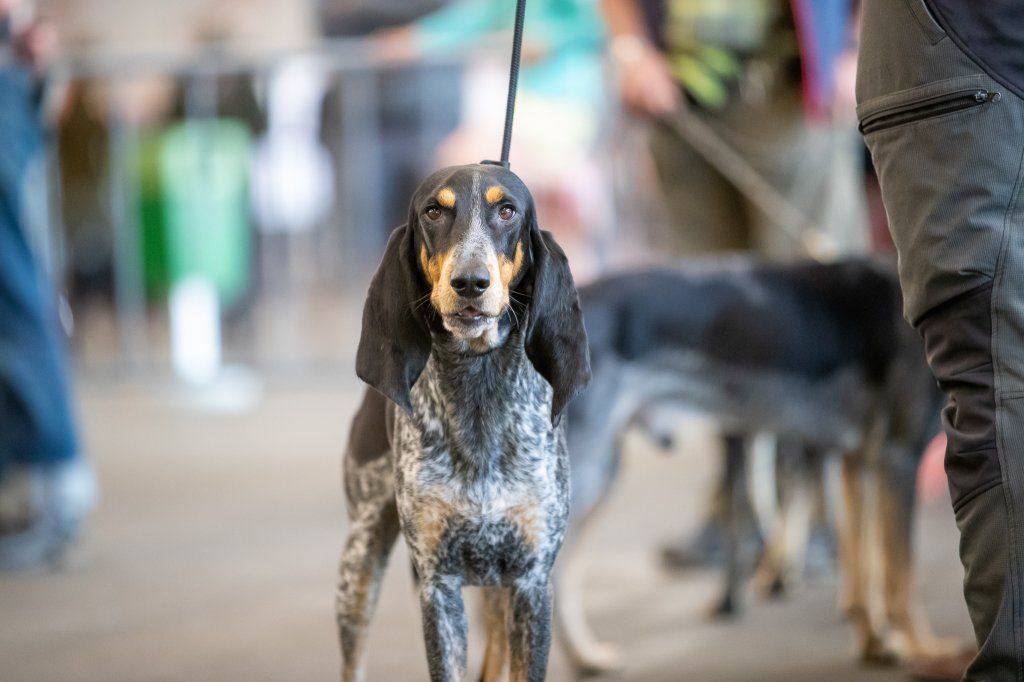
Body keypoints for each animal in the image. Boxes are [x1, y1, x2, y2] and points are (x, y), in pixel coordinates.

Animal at [335, 163, 593, 679]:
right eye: (434, 211)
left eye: (507, 211)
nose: (470, 282)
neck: (477, 386)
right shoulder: (439, 586)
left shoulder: (531, 583)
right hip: (358, 567)